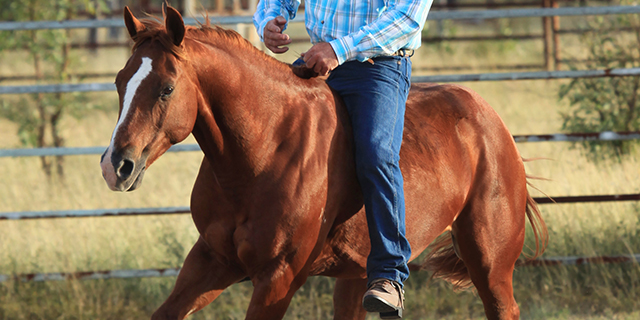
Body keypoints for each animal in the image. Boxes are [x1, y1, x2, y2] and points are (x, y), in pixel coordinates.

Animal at [99, 5, 544, 320]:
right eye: (120, 82)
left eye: (167, 88)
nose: (115, 165)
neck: (263, 151)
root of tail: (489, 119)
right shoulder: (212, 258)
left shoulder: (278, 277)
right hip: (355, 277)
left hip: (490, 264)